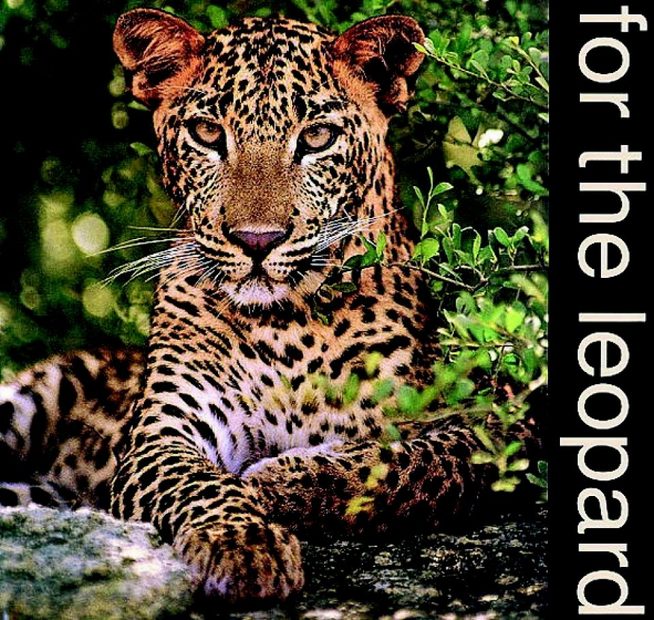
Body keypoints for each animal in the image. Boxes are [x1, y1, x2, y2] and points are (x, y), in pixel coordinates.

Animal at [0, 8, 540, 603]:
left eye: (318, 137)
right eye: (208, 134)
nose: (257, 240)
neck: (290, 325)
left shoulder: (505, 417)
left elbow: (419, 464)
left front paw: (274, 483)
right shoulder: (163, 433)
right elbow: (201, 483)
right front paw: (244, 543)